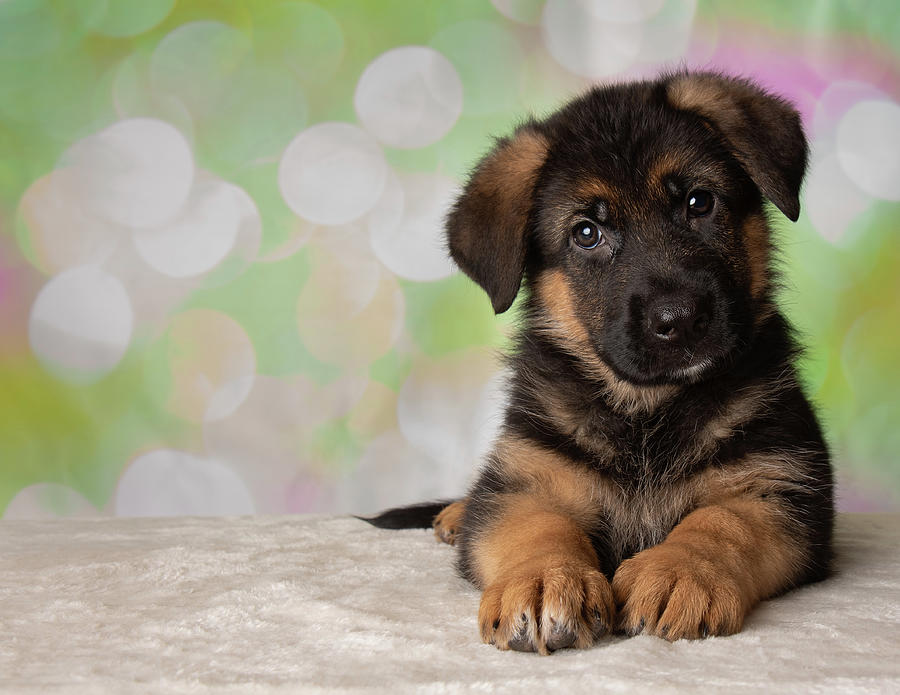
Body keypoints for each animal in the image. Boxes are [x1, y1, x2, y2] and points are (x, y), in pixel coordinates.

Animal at [362, 73, 832, 656]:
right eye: (587, 233)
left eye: (699, 202)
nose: (679, 319)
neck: (647, 411)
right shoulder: (528, 481)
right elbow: (538, 529)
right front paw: (543, 581)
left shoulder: (781, 487)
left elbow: (721, 521)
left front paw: (681, 570)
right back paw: (456, 514)